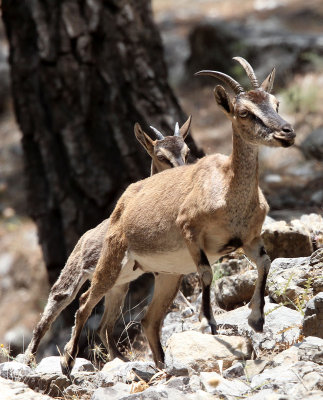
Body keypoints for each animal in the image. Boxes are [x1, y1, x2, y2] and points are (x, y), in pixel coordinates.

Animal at [23, 117, 192, 364]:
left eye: (187, 152)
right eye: (161, 156)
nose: (182, 173)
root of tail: (85, 235)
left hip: (119, 286)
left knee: (104, 325)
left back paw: (119, 358)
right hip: (75, 275)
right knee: (53, 311)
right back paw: (32, 358)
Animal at [60, 57, 296, 376]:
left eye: (276, 103)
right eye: (244, 112)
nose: (286, 132)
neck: (227, 190)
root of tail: (124, 200)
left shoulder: (249, 238)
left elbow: (265, 262)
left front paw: (256, 320)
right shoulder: (190, 230)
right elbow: (207, 272)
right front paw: (208, 322)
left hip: (167, 275)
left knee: (149, 319)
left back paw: (161, 366)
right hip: (113, 257)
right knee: (85, 303)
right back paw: (67, 362)